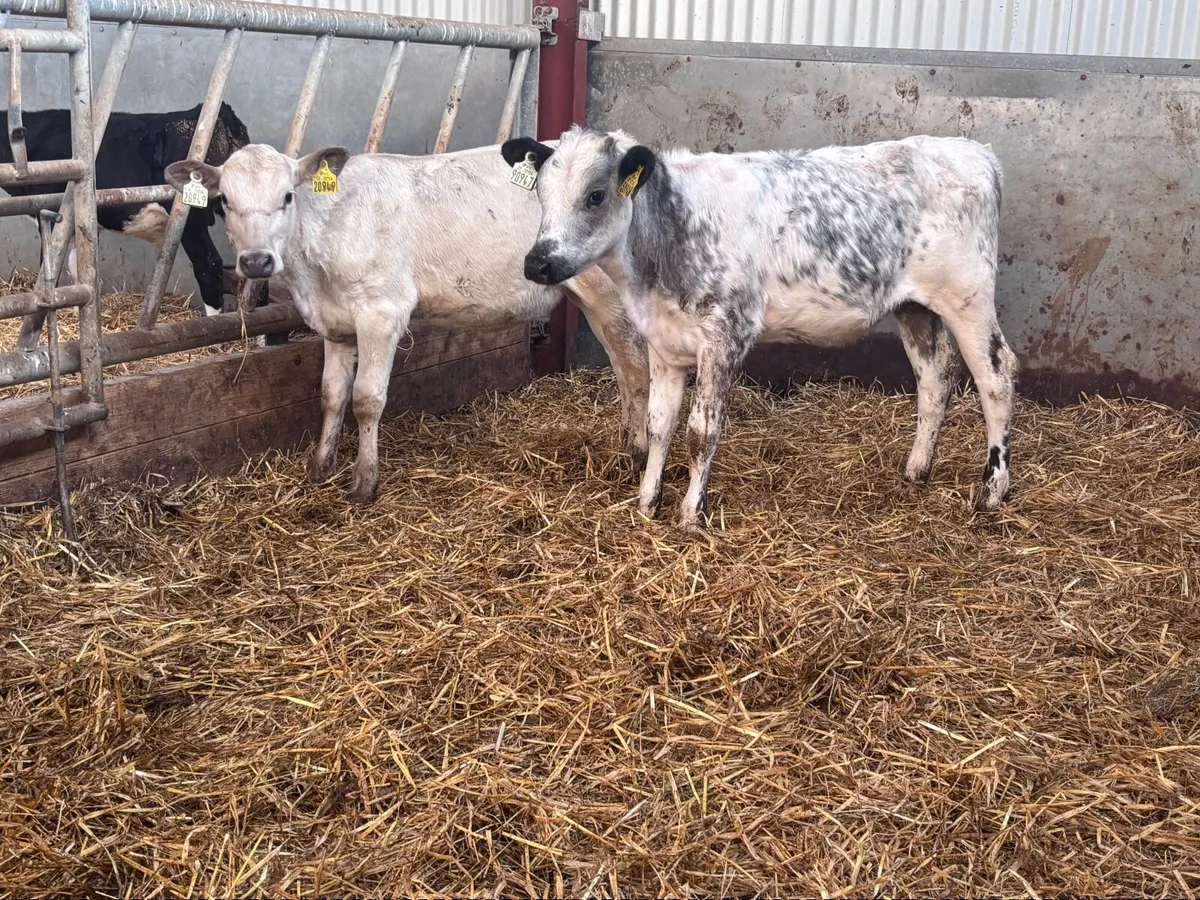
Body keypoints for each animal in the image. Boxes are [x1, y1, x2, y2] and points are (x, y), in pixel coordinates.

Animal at [0, 102, 266, 350]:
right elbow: (79, 271)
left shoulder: (51, 217)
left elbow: (51, 274)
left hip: (191, 218)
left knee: (209, 265)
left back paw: (215, 340)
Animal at [164, 142, 650, 504]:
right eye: (225, 201)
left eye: (286, 196)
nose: (256, 261)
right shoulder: (336, 323)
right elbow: (331, 394)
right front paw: (320, 468)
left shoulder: (382, 310)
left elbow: (366, 399)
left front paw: (364, 482)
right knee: (620, 362)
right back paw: (626, 439)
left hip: (609, 292)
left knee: (635, 365)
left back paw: (640, 451)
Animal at [503, 127, 1018, 528]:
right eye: (540, 194)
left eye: (595, 195)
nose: (537, 262)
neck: (673, 230)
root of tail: (975, 151)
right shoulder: (663, 342)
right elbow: (659, 424)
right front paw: (647, 502)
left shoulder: (725, 335)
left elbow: (701, 429)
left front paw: (691, 513)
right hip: (915, 307)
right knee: (935, 377)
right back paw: (916, 470)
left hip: (968, 298)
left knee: (996, 376)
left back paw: (993, 490)